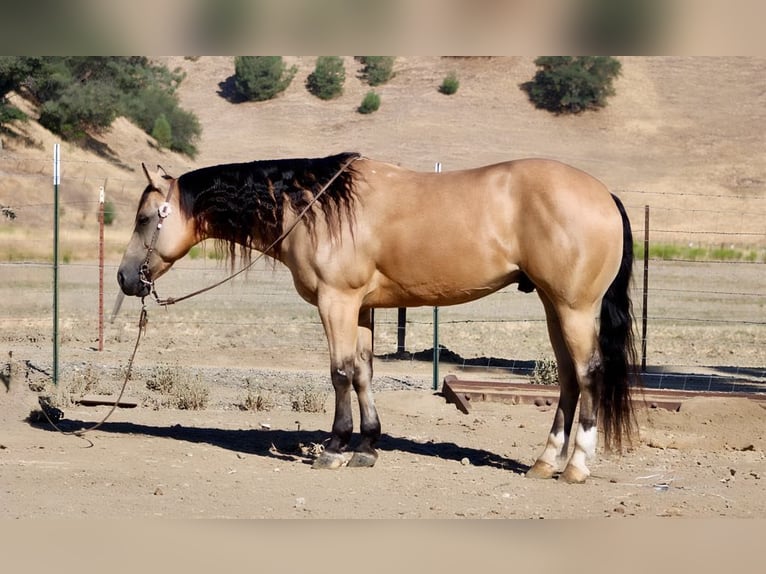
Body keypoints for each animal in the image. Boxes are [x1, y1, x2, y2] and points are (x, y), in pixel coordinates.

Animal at [117, 152, 639, 483]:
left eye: (144, 218)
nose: (125, 278)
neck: (315, 207)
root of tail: (605, 195)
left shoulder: (337, 302)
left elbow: (340, 373)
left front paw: (334, 449)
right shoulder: (363, 308)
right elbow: (364, 373)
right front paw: (367, 447)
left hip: (574, 308)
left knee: (588, 374)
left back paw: (576, 467)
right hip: (553, 307)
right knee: (568, 379)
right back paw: (545, 462)